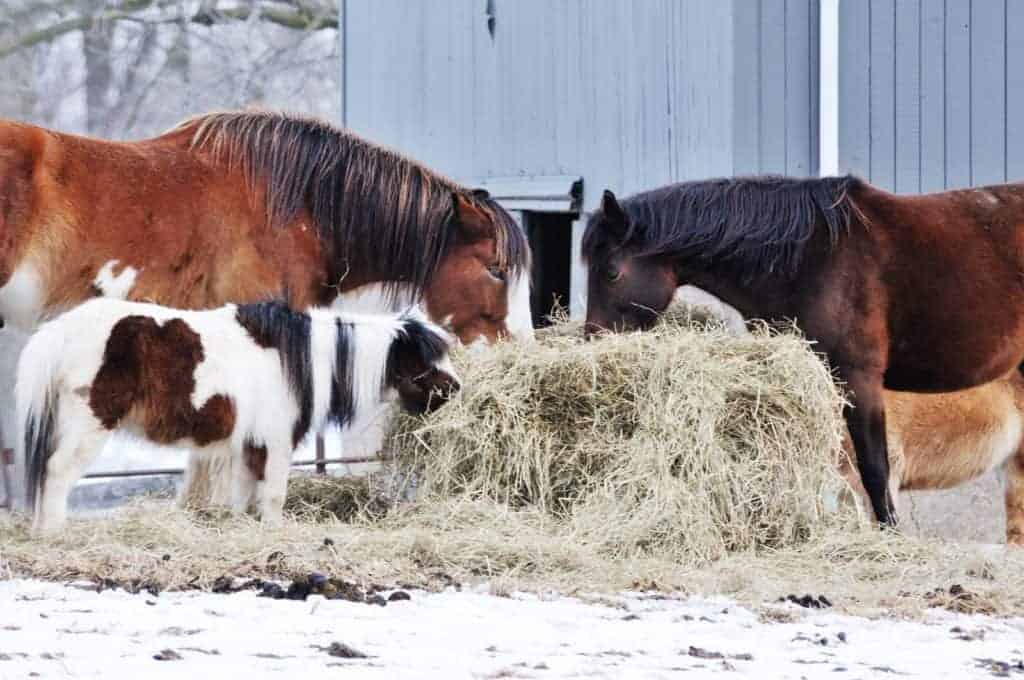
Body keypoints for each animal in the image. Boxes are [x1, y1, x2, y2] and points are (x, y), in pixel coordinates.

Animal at [17, 298, 459, 533]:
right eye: (424, 357)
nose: (455, 389)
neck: (302, 358)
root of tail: (60, 331)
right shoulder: (276, 444)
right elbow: (274, 496)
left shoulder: (250, 446)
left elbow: (244, 499)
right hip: (88, 426)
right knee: (56, 472)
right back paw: (53, 533)